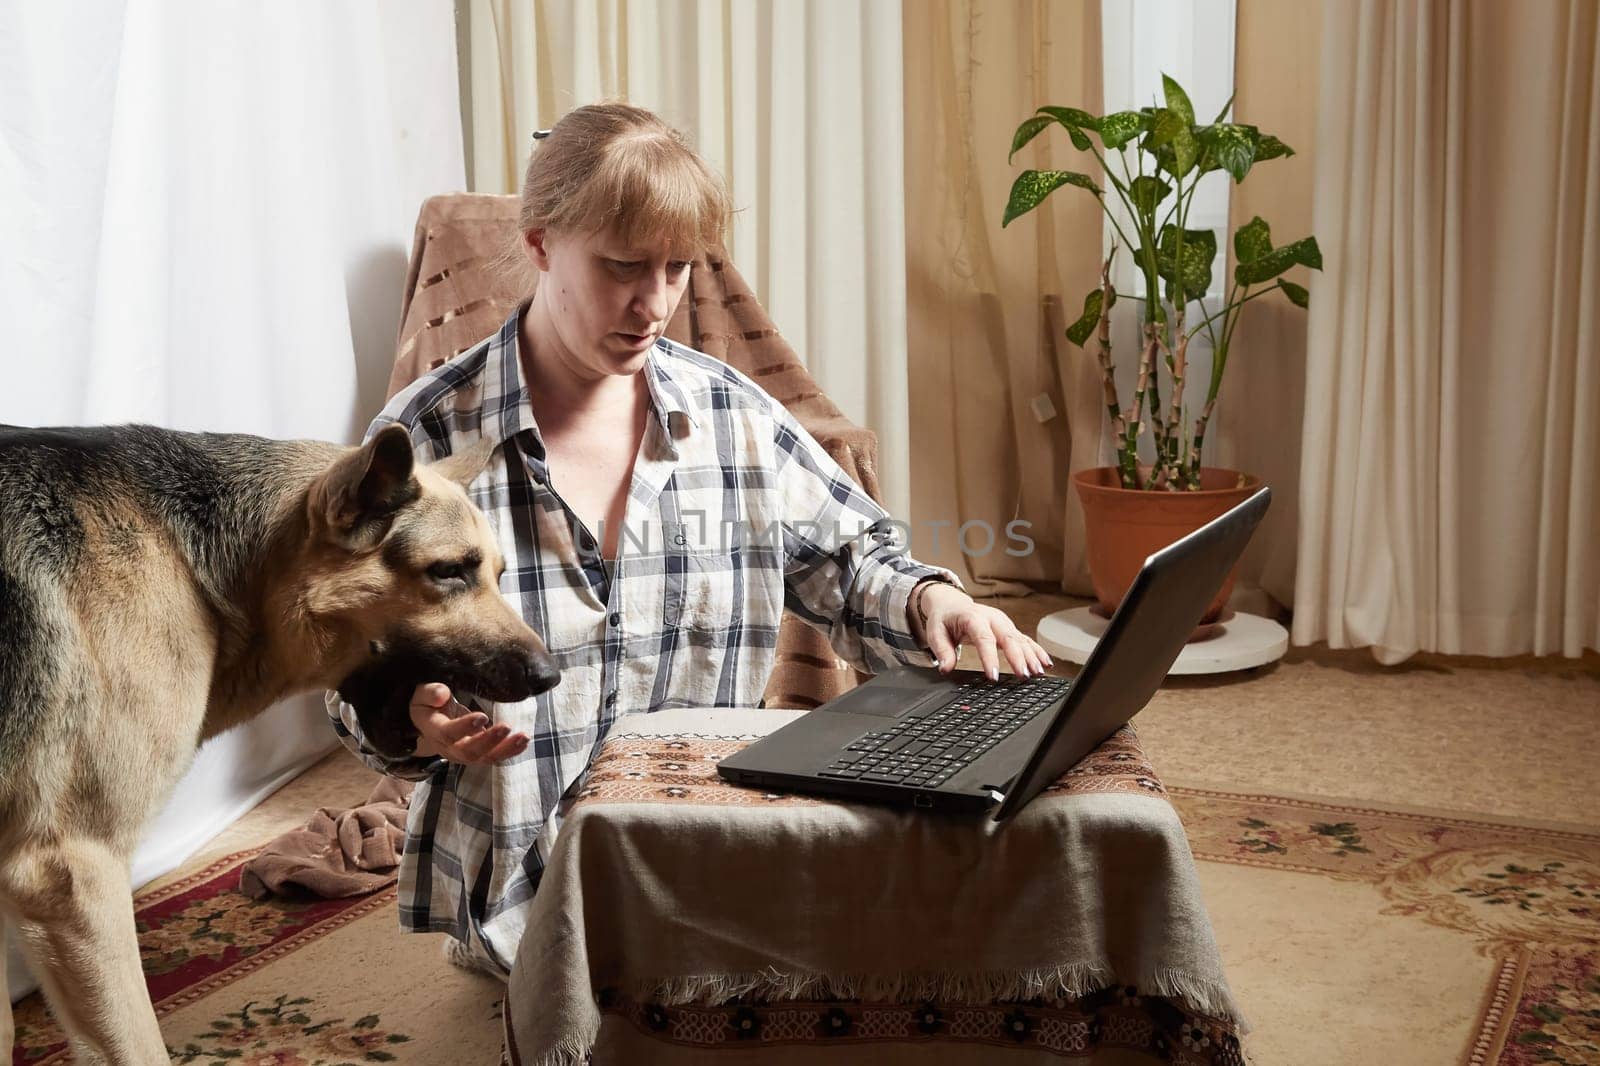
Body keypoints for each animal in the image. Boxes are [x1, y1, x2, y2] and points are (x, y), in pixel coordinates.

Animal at [0, 419, 563, 1056]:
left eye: (498, 574)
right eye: (448, 572)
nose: (552, 676)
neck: (199, 569)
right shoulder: (74, 875)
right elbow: (136, 1044)